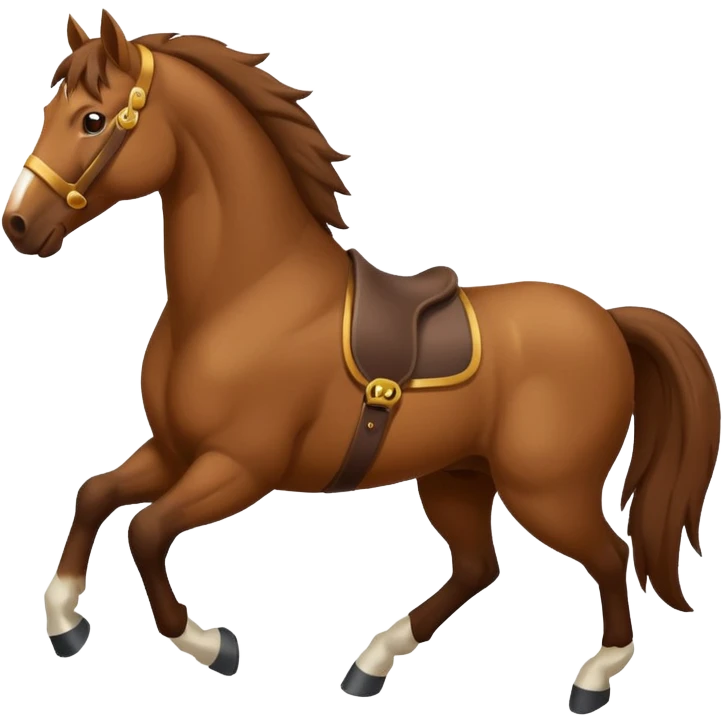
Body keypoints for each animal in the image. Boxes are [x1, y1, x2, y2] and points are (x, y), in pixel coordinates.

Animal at [3, 11, 719, 715]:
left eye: (93, 119)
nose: (18, 225)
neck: (249, 293)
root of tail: (609, 321)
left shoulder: (239, 466)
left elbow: (147, 532)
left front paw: (212, 646)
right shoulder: (176, 450)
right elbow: (96, 495)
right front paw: (65, 623)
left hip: (547, 490)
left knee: (609, 555)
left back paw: (592, 679)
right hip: (457, 476)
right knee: (478, 566)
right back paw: (370, 665)